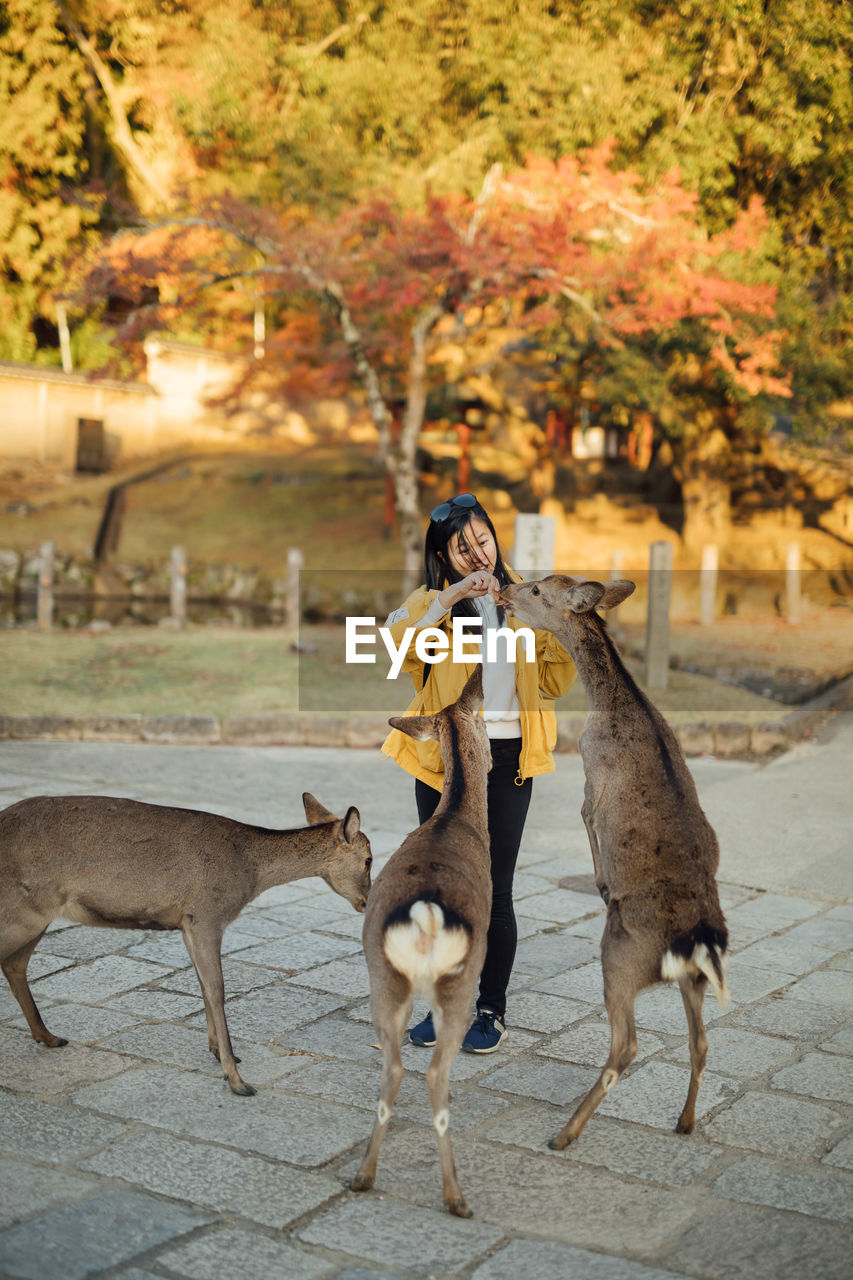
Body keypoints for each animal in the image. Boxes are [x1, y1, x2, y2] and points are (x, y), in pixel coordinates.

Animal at [0, 783, 371, 1095]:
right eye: (369, 859)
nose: (366, 902)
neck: (250, 874)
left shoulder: (187, 923)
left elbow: (203, 984)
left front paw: (219, 1052)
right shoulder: (207, 914)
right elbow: (218, 987)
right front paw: (237, 1080)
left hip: (36, 915)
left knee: (15, 964)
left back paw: (48, 1037)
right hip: (22, 910)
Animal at [348, 670, 489, 1218]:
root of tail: (427, 916)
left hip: (382, 975)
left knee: (391, 1069)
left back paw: (363, 1176)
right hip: (459, 981)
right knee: (434, 1075)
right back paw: (456, 1197)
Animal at [494, 576, 727, 1146]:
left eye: (538, 589)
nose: (507, 588)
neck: (613, 704)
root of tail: (696, 939)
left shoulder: (590, 771)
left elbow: (585, 816)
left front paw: (601, 882)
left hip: (620, 956)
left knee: (628, 1045)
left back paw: (564, 1133)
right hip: (694, 978)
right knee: (701, 1041)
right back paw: (685, 1121)